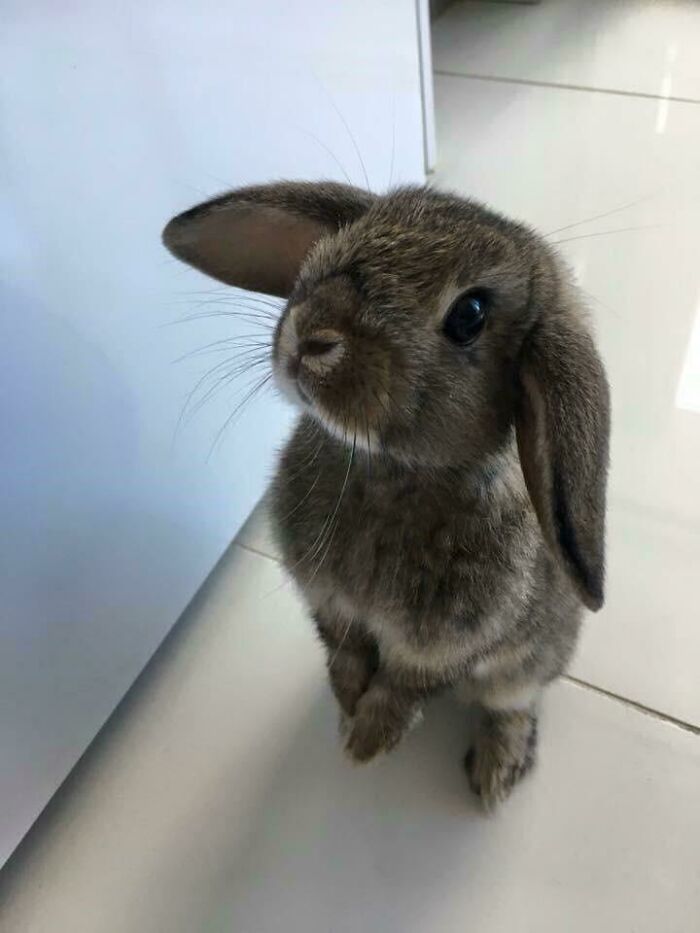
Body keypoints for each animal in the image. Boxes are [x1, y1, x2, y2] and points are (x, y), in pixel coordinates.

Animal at [163, 181, 610, 807]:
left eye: (470, 314)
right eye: (345, 240)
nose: (313, 335)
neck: (387, 471)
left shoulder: (440, 647)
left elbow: (402, 687)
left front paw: (366, 743)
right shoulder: (329, 603)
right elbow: (344, 650)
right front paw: (347, 704)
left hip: (525, 665)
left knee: (512, 705)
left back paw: (494, 775)